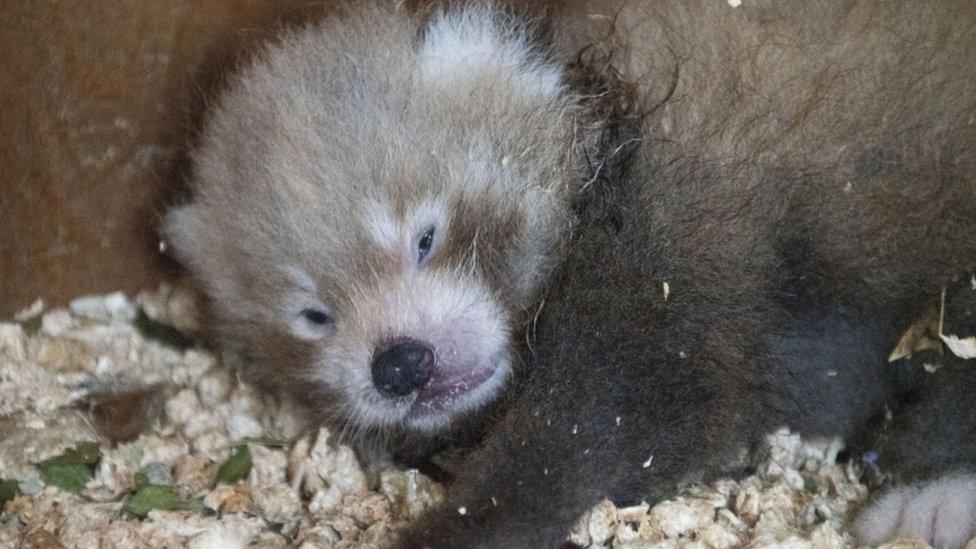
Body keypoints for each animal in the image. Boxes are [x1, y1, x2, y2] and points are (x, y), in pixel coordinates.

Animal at [164, 0, 976, 544]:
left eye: (425, 238)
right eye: (314, 314)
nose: (398, 363)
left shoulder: (671, 249)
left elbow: (598, 425)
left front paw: (463, 528)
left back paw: (930, 498)